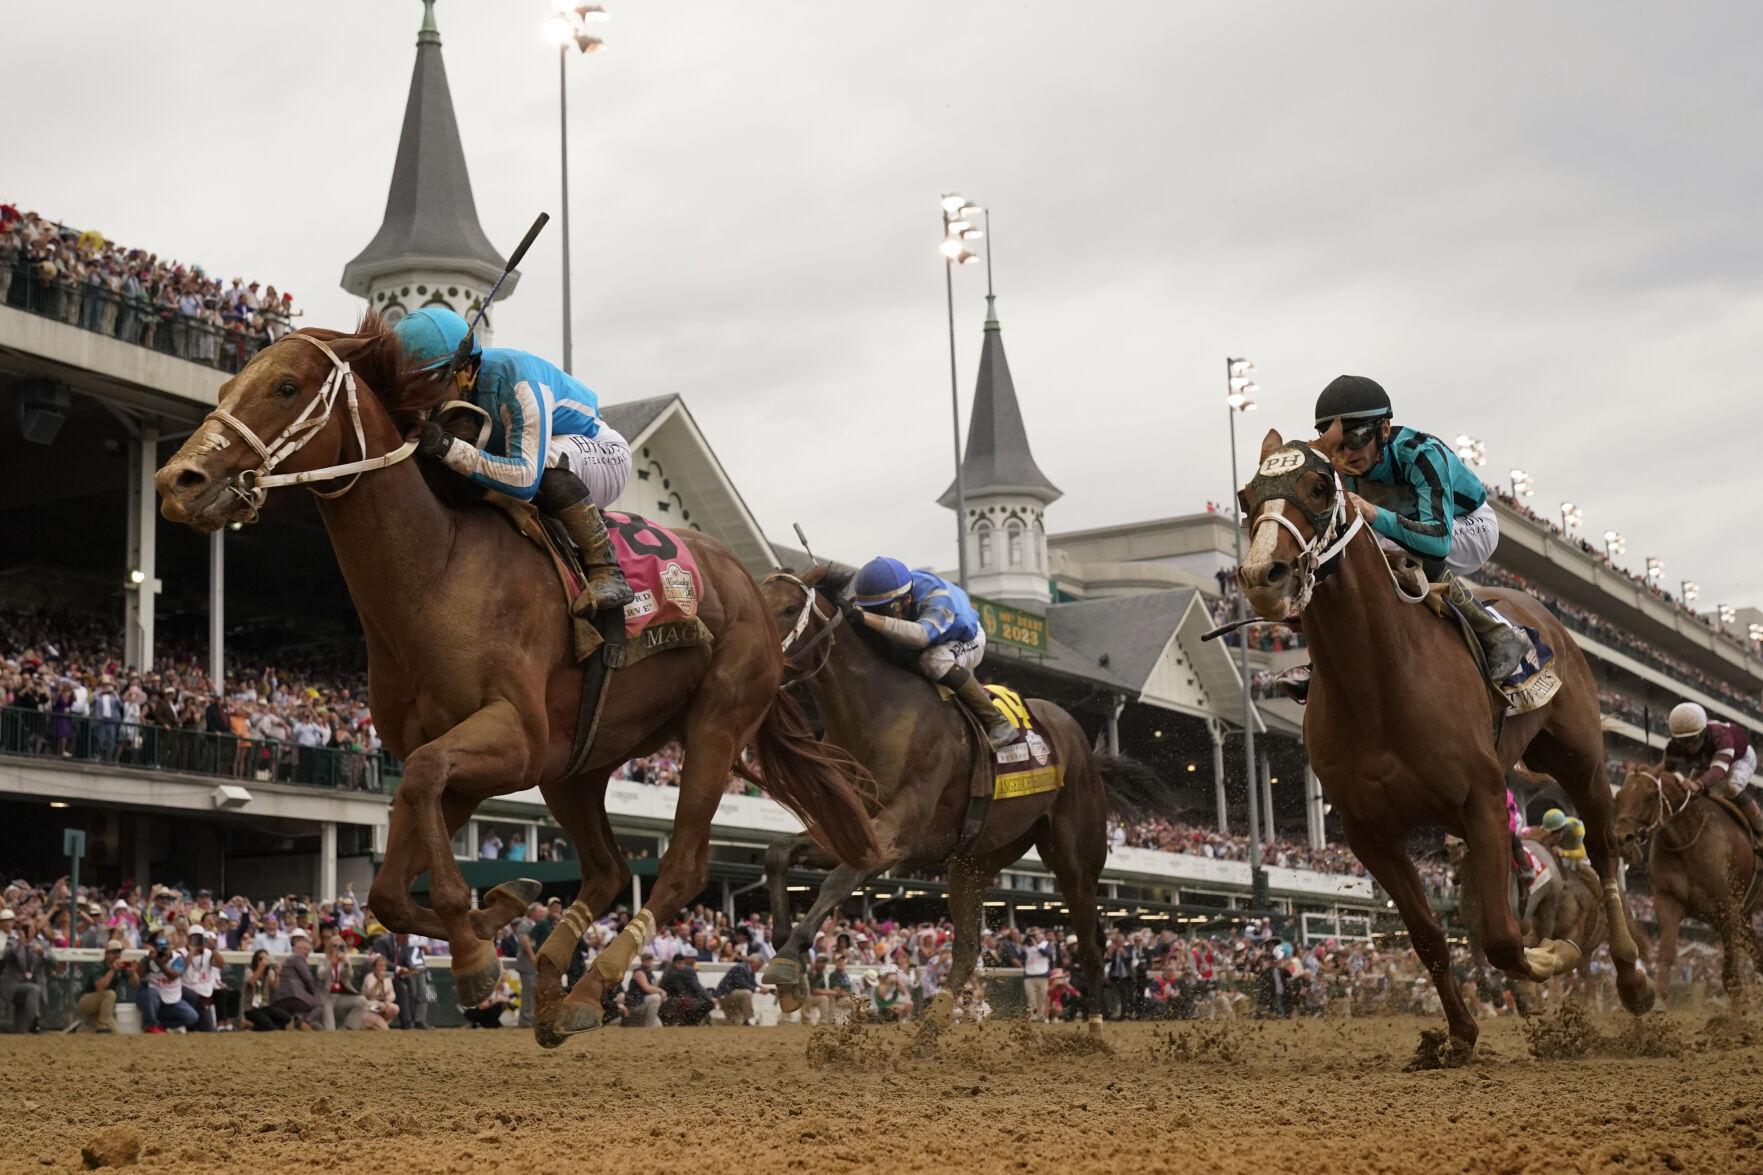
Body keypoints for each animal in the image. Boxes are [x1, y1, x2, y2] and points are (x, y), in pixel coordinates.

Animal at [151, 314, 881, 1044]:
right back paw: (557, 978)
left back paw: (589, 985)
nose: (176, 480)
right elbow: (389, 884)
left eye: (285, 385)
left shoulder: (513, 739)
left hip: (713, 727)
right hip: (577, 764)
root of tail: (755, 592)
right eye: (227, 385)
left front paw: (476, 958)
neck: (437, 571)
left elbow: (422, 796)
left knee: (678, 867)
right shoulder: (457, 762)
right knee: (610, 867)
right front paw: (497, 916)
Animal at [751, 564, 1121, 1023]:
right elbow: (777, 852)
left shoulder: (898, 832)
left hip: (1076, 861)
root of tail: (1078, 737)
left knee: (1090, 946)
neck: (878, 711)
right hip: (974, 861)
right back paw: (931, 1024)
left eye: (787, 608)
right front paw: (788, 958)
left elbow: (837, 881)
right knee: (967, 949)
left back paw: (1095, 1026)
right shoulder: (852, 828)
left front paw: (787, 960)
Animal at [1241, 432, 1650, 1058]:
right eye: (1245, 497)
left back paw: (1632, 979)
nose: (1264, 575)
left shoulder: (1481, 800)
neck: (1378, 683)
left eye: (1318, 486)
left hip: (1583, 761)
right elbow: (1432, 937)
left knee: (1604, 851)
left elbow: (1505, 940)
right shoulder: (1370, 833)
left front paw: (1552, 956)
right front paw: (1458, 1035)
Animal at [1614, 769, 1755, 995]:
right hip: (1746, 918)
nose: (1621, 838)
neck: (1687, 841)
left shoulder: (1728, 910)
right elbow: (1665, 957)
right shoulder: (1667, 901)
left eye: (1650, 797)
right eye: (1619, 797)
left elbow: (1731, 977)